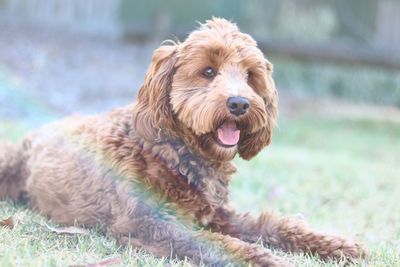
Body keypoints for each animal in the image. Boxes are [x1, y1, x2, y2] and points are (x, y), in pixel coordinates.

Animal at [0, 18, 366, 266]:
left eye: (250, 76)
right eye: (208, 71)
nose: (239, 103)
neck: (174, 152)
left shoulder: (221, 216)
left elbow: (274, 225)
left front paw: (336, 244)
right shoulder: (150, 224)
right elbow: (219, 244)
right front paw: (269, 260)